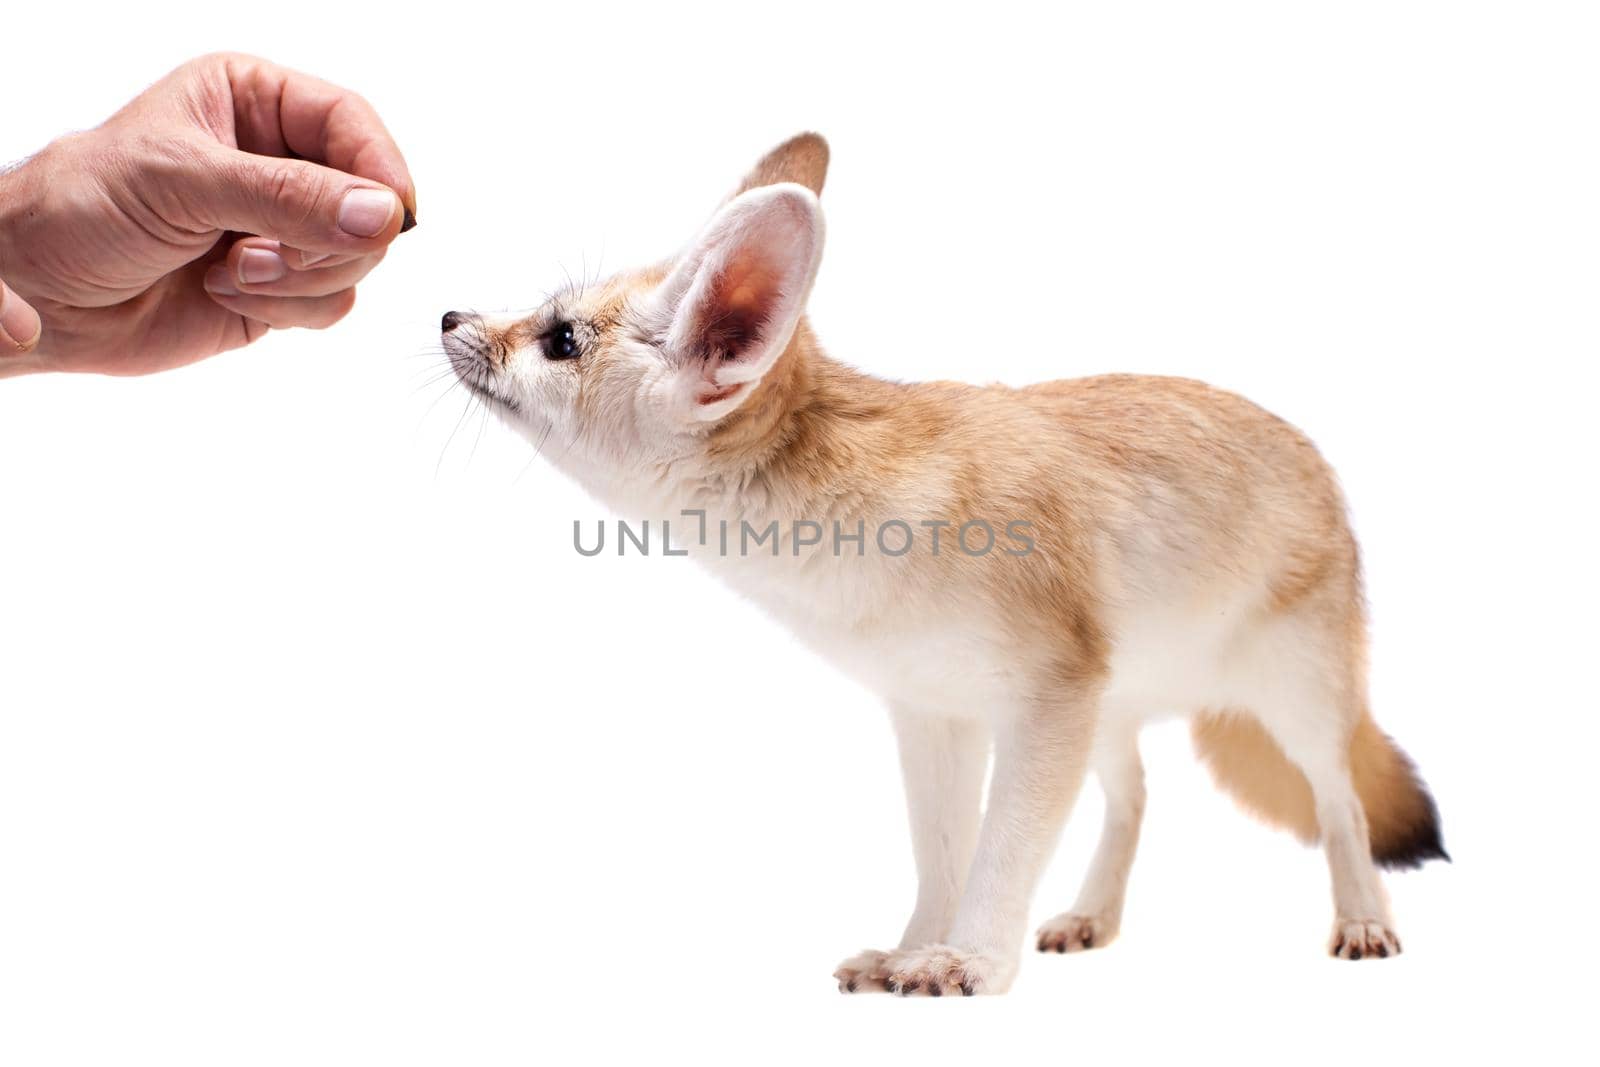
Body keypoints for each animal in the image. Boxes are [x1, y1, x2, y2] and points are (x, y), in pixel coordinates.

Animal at [441, 137, 1452, 998]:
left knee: (1341, 802)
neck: (851, 538)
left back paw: (1363, 917)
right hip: (1112, 711)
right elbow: (941, 853)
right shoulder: (935, 712)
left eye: (560, 338)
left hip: (1295, 700)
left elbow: (1002, 850)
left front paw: (968, 959)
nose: (451, 314)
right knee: (1135, 797)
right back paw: (1093, 914)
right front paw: (913, 946)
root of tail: (1313, 453)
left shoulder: (1041, 704)